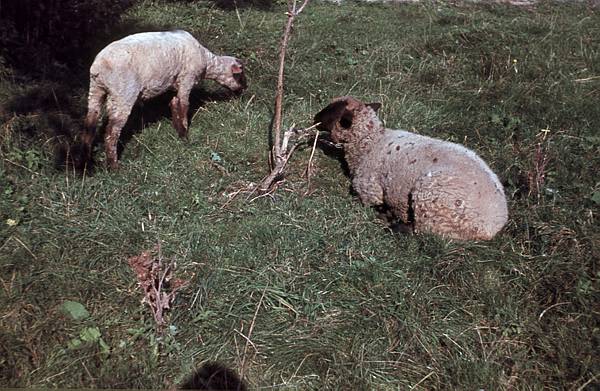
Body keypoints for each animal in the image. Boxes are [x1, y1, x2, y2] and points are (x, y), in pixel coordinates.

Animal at [82, 31, 246, 169]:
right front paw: (185, 135)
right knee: (111, 132)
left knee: (90, 124)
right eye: (240, 75)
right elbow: (184, 105)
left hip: (96, 90)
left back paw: (86, 164)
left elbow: (174, 103)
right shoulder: (187, 78)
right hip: (122, 94)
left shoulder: (175, 83)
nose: (243, 90)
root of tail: (98, 67)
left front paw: (178, 130)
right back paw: (114, 166)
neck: (206, 61)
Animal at [316, 96, 508, 240]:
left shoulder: (368, 189)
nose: (314, 118)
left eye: (331, 110)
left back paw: (392, 222)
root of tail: (493, 226)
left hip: (432, 206)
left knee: (422, 233)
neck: (370, 142)